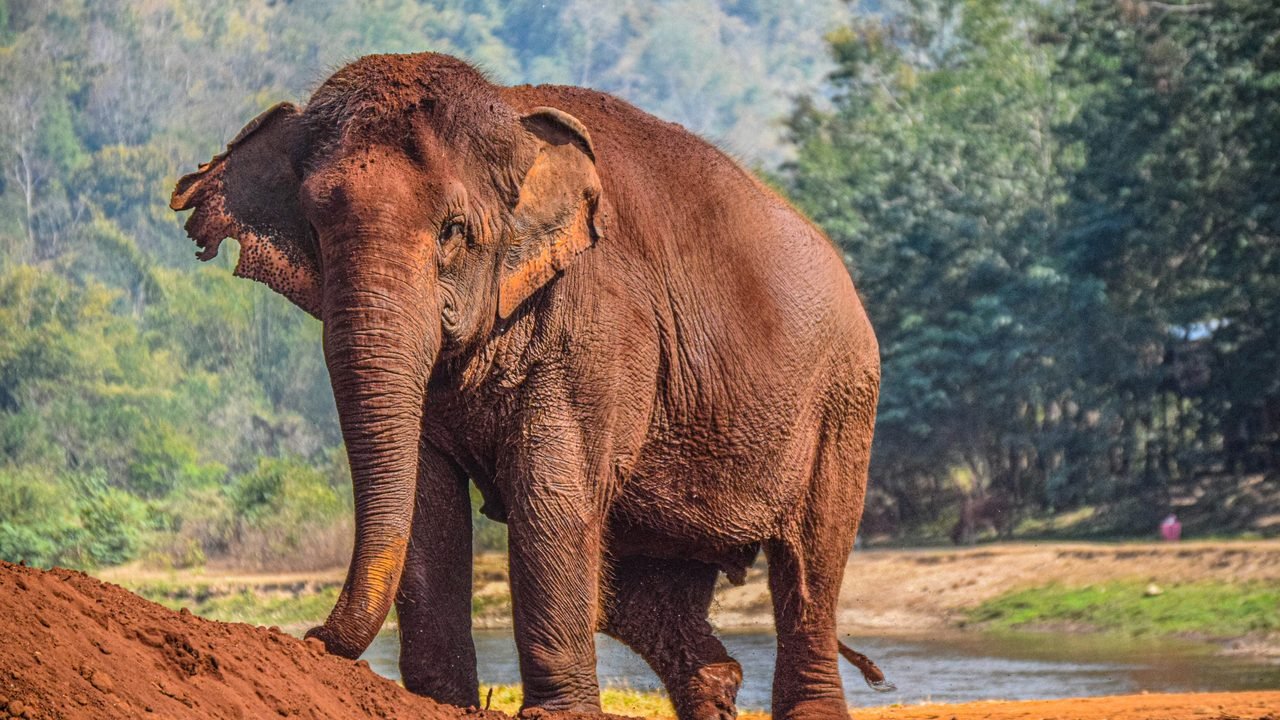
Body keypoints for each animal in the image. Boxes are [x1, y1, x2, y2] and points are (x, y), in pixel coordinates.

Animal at [170, 53, 889, 720]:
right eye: (314, 228)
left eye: (452, 231)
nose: (311, 637)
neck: (509, 115)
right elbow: (430, 502)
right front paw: (444, 704)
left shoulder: (601, 322)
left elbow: (550, 493)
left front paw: (555, 715)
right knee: (643, 597)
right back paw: (718, 684)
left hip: (843, 400)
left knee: (809, 565)